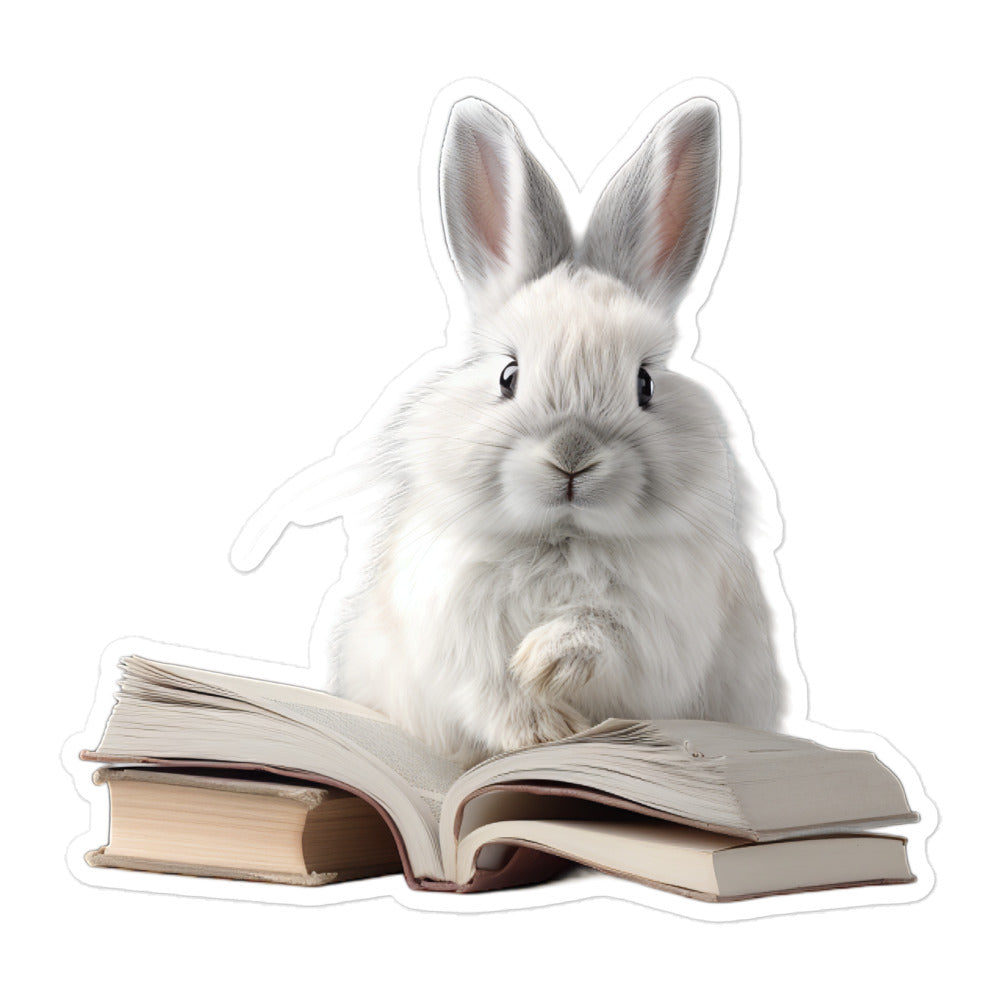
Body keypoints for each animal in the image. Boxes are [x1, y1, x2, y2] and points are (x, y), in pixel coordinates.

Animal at [332, 94, 785, 766]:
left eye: (645, 384)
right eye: (508, 375)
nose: (573, 454)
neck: (561, 537)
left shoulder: (656, 630)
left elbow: (602, 633)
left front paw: (545, 664)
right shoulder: (453, 634)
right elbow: (486, 685)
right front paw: (539, 730)